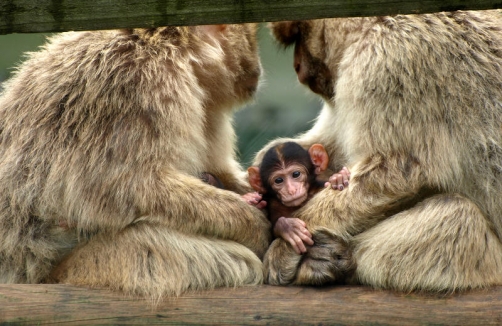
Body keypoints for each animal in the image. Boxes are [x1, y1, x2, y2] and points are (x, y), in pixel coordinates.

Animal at [256, 10, 502, 292]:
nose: (296, 65)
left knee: (456, 216)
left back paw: (334, 259)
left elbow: (399, 169)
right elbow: (328, 148)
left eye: (299, 35)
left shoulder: (390, 62)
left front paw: (286, 239)